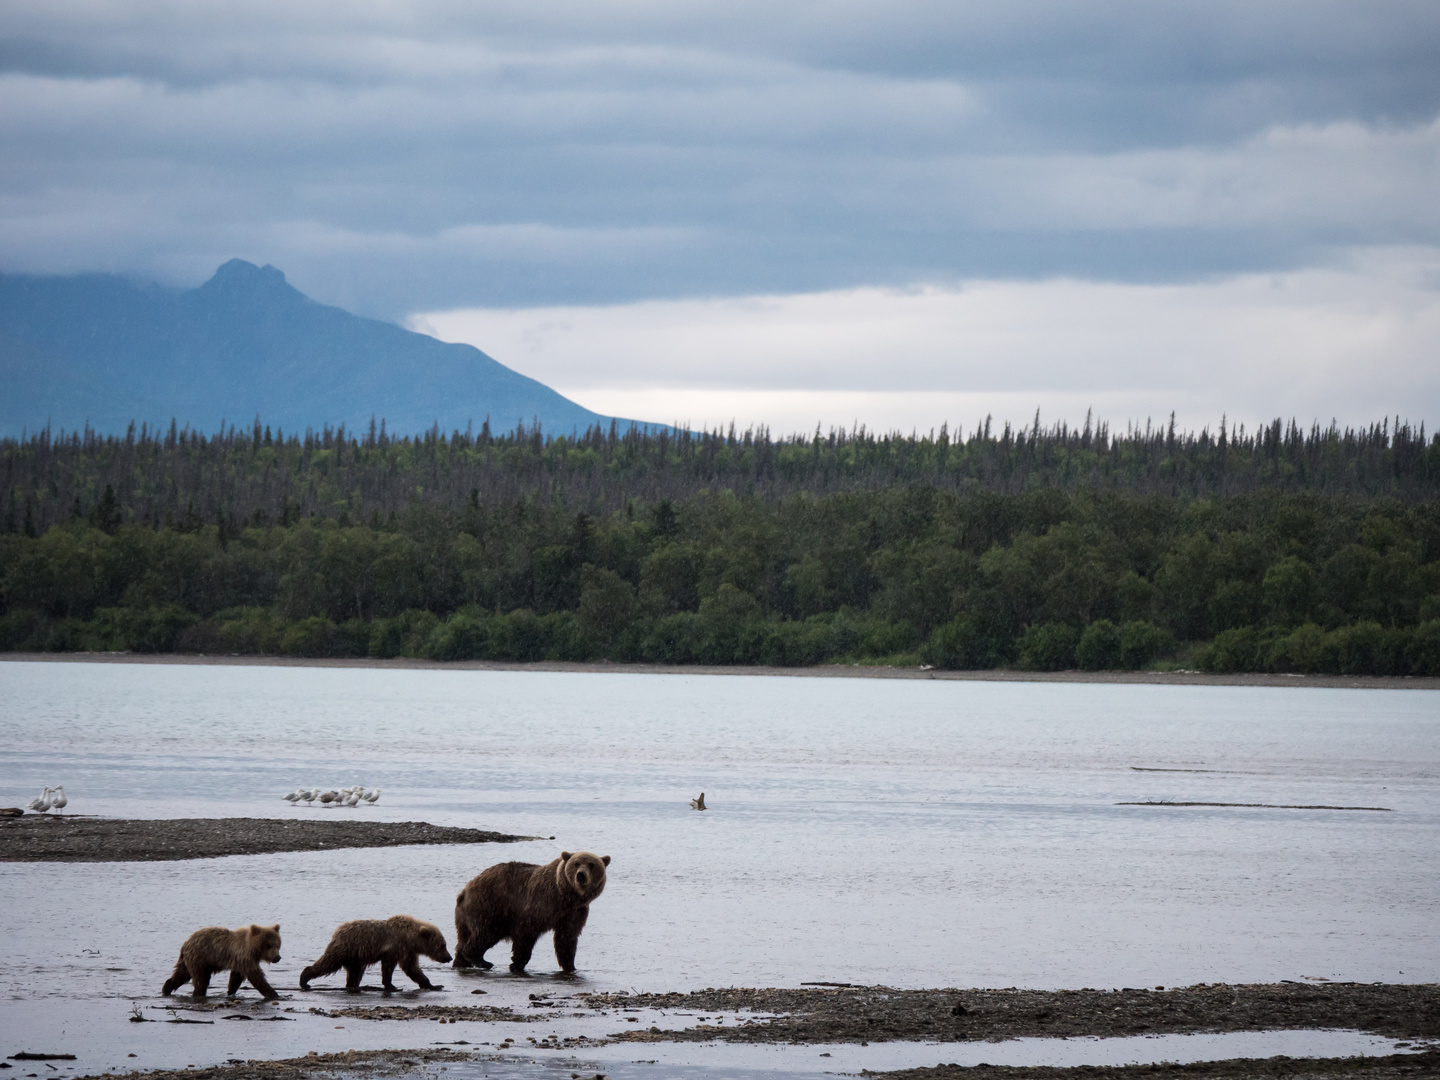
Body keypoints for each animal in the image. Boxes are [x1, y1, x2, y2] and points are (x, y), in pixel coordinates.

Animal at [302, 915, 455, 996]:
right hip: (346, 949)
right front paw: (391, 985)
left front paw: (434, 985)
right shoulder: (395, 948)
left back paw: (353, 985)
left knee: (354, 973)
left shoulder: (408, 951)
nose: (449, 958)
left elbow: (412, 969)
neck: (411, 938)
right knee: (328, 963)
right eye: (442, 945)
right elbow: (389, 967)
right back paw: (304, 979)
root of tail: (338, 931)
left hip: (356, 958)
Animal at [457, 852, 610, 979]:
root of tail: (465, 890)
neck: (565, 896)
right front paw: (516, 964)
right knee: (487, 933)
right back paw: (482, 961)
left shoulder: (575, 912)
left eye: (591, 864)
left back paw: (460, 962)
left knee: (463, 939)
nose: (581, 875)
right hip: (490, 906)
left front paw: (570, 966)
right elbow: (526, 933)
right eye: (576, 863)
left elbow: (566, 938)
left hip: (466, 917)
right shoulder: (539, 904)